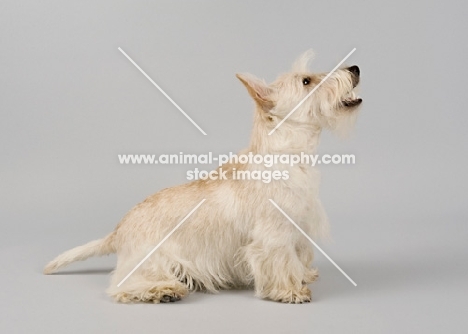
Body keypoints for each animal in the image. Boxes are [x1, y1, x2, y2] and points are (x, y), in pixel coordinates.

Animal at [44, 51, 362, 304]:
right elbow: (279, 260)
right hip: (152, 261)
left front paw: (304, 275)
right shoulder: (273, 234)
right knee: (124, 286)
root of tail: (118, 230)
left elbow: (298, 257)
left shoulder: (298, 228)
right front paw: (289, 291)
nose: (355, 69)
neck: (290, 155)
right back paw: (163, 291)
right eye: (306, 81)